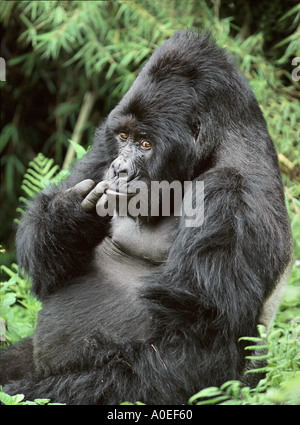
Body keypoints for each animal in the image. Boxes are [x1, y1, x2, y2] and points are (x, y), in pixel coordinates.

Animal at [0, 30, 292, 404]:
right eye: (124, 137)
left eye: (146, 144)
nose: (119, 170)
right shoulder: (104, 143)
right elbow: (47, 266)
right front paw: (71, 218)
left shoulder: (229, 194)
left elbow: (189, 348)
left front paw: (25, 391)